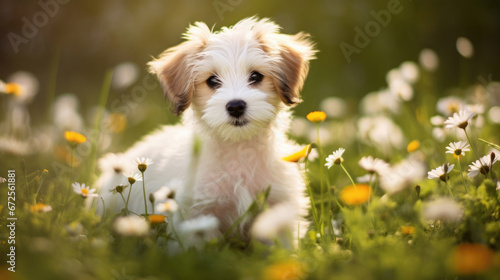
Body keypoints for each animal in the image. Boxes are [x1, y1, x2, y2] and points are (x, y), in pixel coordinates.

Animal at [96, 16, 316, 246]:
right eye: (212, 80)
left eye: (256, 76)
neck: (238, 150)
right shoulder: (196, 216)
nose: (236, 106)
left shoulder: (278, 206)